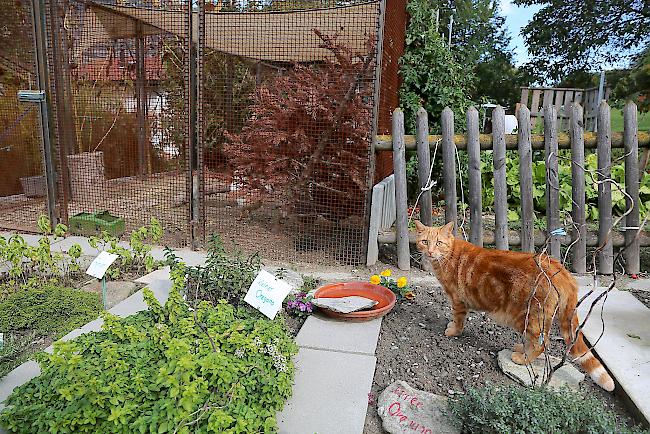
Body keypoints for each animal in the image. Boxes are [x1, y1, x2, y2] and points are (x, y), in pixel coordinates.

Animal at [416, 222, 612, 392]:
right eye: (425, 241)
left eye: (438, 243)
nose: (431, 252)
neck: (447, 255)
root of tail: (563, 272)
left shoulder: (457, 300)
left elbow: (458, 320)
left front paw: (453, 331)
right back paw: (521, 349)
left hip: (525, 317)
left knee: (542, 343)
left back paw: (522, 359)